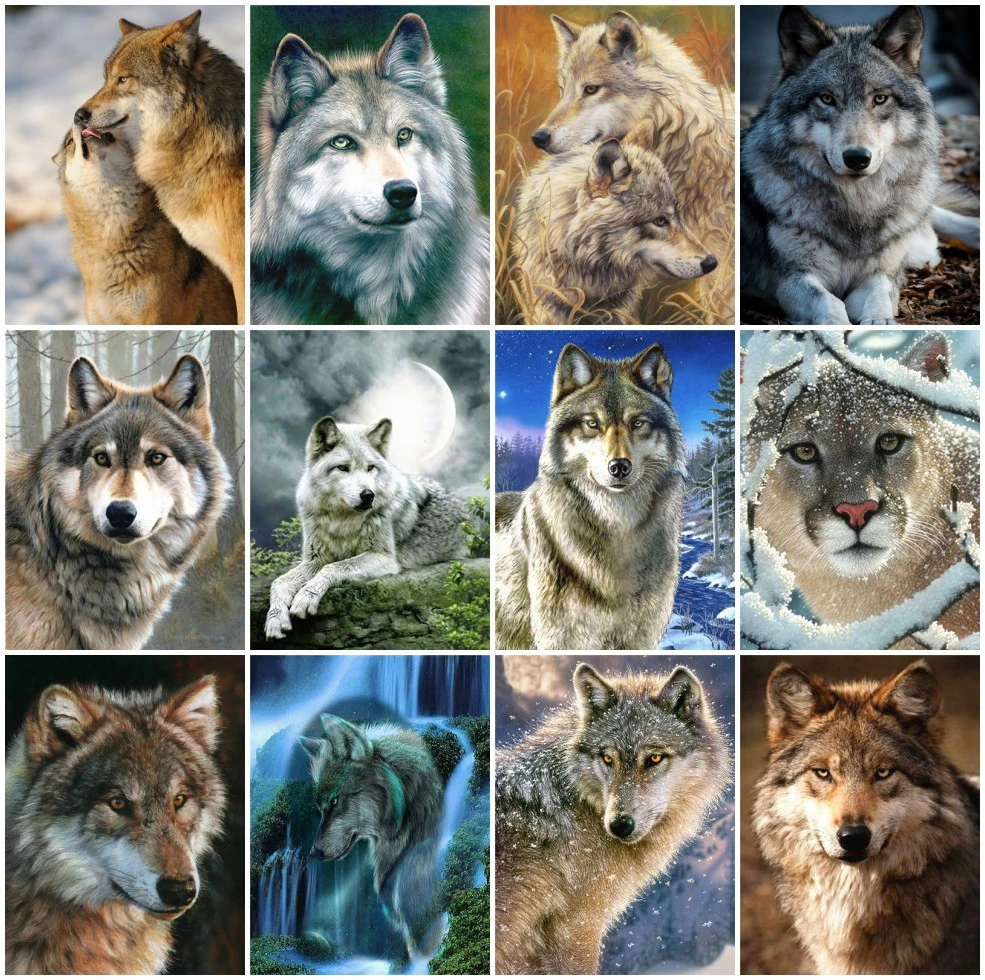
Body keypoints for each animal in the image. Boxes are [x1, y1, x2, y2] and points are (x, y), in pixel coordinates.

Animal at [264, 416, 469, 641]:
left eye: (370, 468)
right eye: (343, 468)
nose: (368, 495)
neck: (342, 521)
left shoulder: (384, 557)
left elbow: (335, 567)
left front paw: (305, 597)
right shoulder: (315, 559)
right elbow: (279, 581)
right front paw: (275, 619)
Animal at [741, 5, 981, 325]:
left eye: (880, 98)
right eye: (826, 98)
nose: (857, 157)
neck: (857, 209)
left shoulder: (881, 275)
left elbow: (879, 296)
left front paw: (880, 323)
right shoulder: (792, 280)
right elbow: (829, 302)